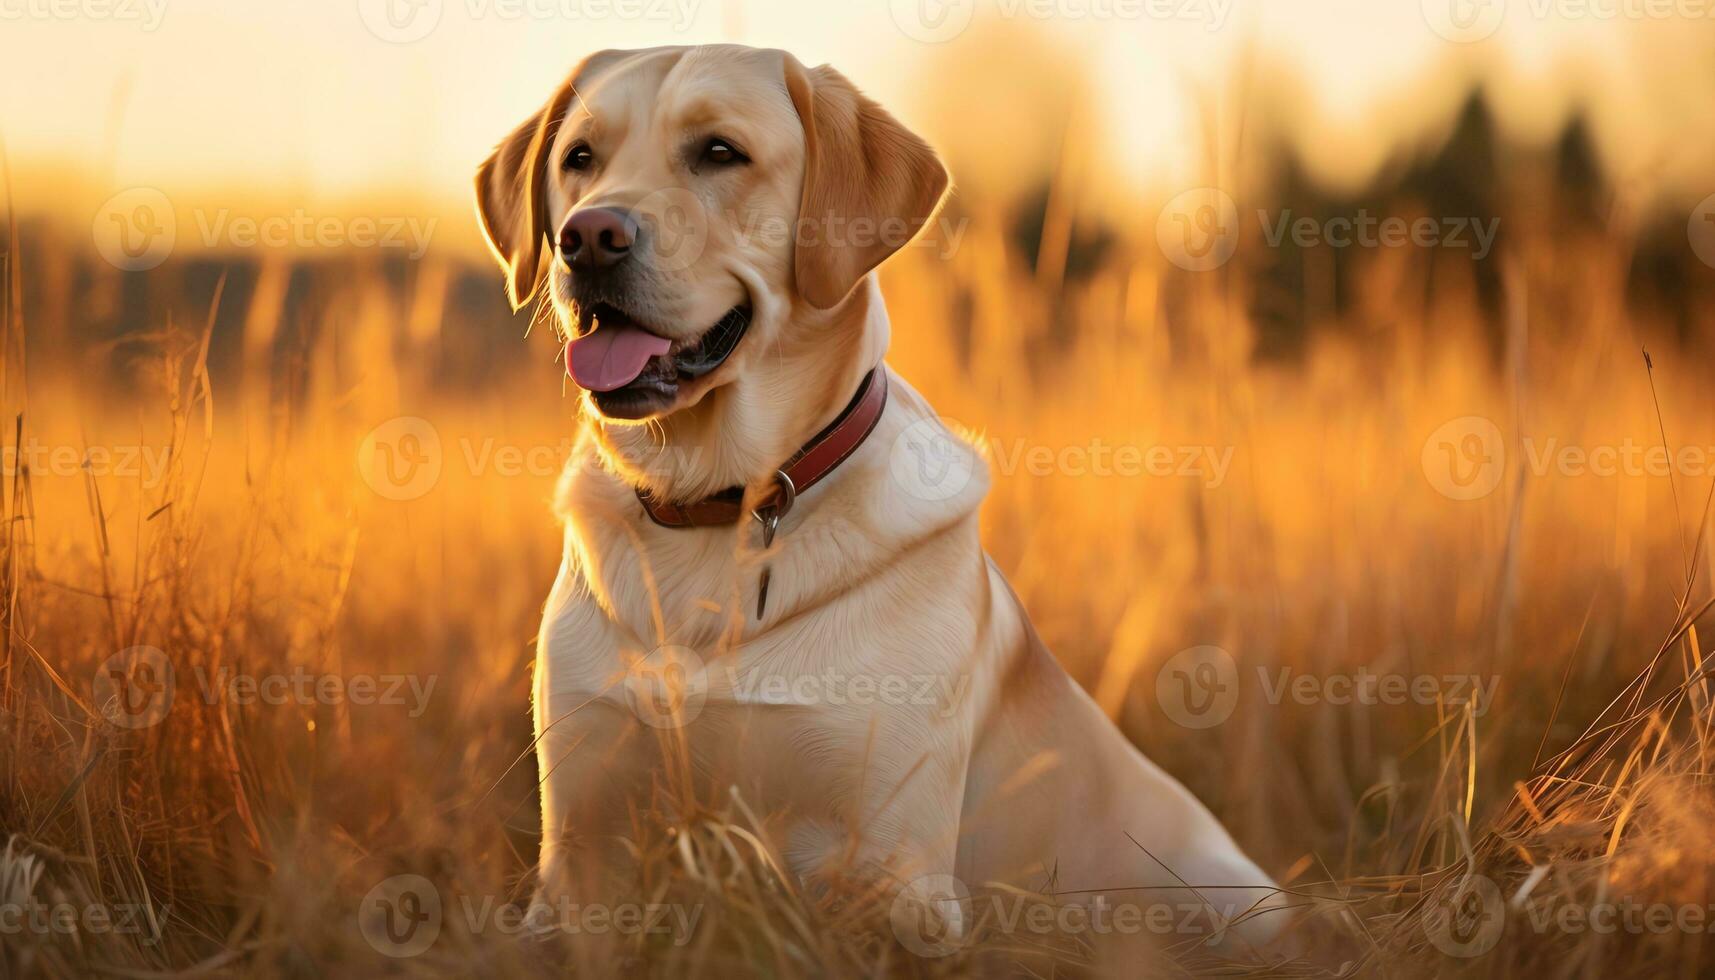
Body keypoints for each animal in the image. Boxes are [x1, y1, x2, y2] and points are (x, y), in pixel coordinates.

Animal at [476, 44, 1282, 954]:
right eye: (579, 158)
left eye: (719, 152)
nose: (589, 237)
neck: (720, 502)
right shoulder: (581, 856)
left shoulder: (894, 872)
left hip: (1229, 897)